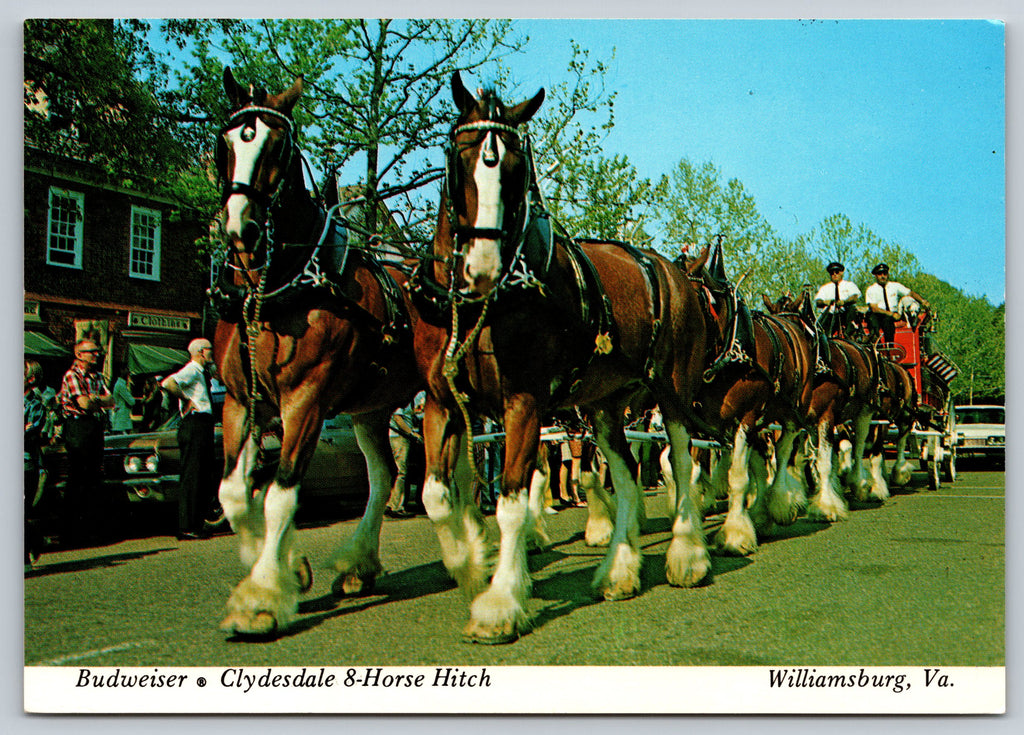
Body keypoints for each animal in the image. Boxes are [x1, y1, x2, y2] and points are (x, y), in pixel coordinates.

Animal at [211, 69, 423, 634]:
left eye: (277, 146)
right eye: (226, 142)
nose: (240, 228)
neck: (281, 287)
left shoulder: (304, 401)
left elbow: (281, 495)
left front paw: (263, 597)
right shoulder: (240, 401)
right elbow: (235, 494)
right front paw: (289, 568)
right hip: (372, 408)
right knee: (384, 475)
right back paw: (357, 564)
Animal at [407, 72, 712, 642]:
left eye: (516, 168)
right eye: (460, 156)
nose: (483, 268)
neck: (480, 304)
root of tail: (673, 271)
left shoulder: (523, 403)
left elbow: (511, 503)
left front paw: (500, 601)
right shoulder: (441, 401)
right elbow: (435, 498)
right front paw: (472, 568)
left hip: (673, 392)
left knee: (681, 462)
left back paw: (687, 555)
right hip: (604, 405)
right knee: (625, 473)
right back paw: (619, 570)